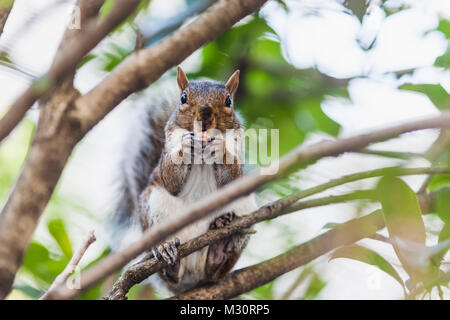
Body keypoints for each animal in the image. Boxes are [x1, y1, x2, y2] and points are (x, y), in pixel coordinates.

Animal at [112, 67, 256, 292]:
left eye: (228, 101)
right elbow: (171, 181)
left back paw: (221, 237)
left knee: (214, 271)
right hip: (153, 205)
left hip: (246, 206)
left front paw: (220, 149)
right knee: (171, 272)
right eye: (183, 98)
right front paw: (186, 148)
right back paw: (167, 250)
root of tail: (190, 280)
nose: (205, 117)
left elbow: (230, 180)